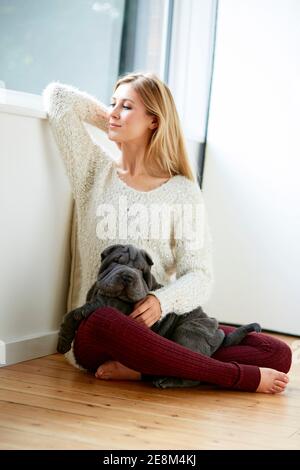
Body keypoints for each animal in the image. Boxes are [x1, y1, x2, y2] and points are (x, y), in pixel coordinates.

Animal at [57, 244, 262, 388]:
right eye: (117, 261)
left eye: (141, 270)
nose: (128, 276)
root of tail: (218, 333)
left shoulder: (103, 305)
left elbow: (71, 315)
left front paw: (62, 344)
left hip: (187, 333)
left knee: (193, 371)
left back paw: (165, 381)